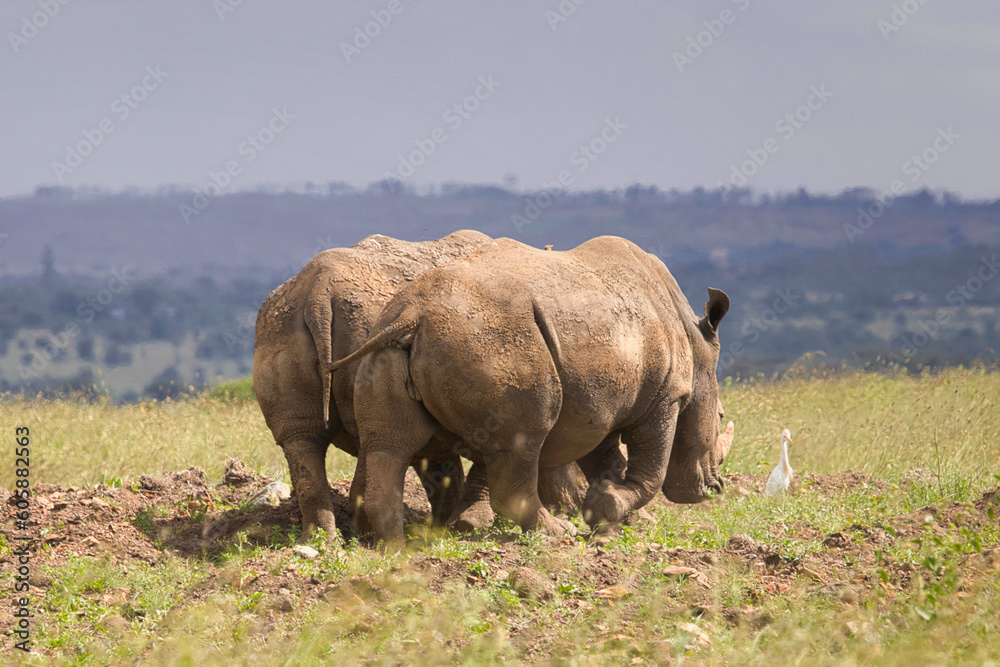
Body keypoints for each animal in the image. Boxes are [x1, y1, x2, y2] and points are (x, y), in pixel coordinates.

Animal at [330, 236, 733, 544]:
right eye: (721, 416)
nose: (715, 487)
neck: (696, 341)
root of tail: (414, 315)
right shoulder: (666, 396)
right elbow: (651, 469)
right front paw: (610, 509)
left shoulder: (596, 404)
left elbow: (605, 462)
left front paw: (608, 516)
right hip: (495, 343)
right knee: (522, 441)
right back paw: (557, 533)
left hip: (387, 348)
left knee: (390, 446)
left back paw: (393, 547)